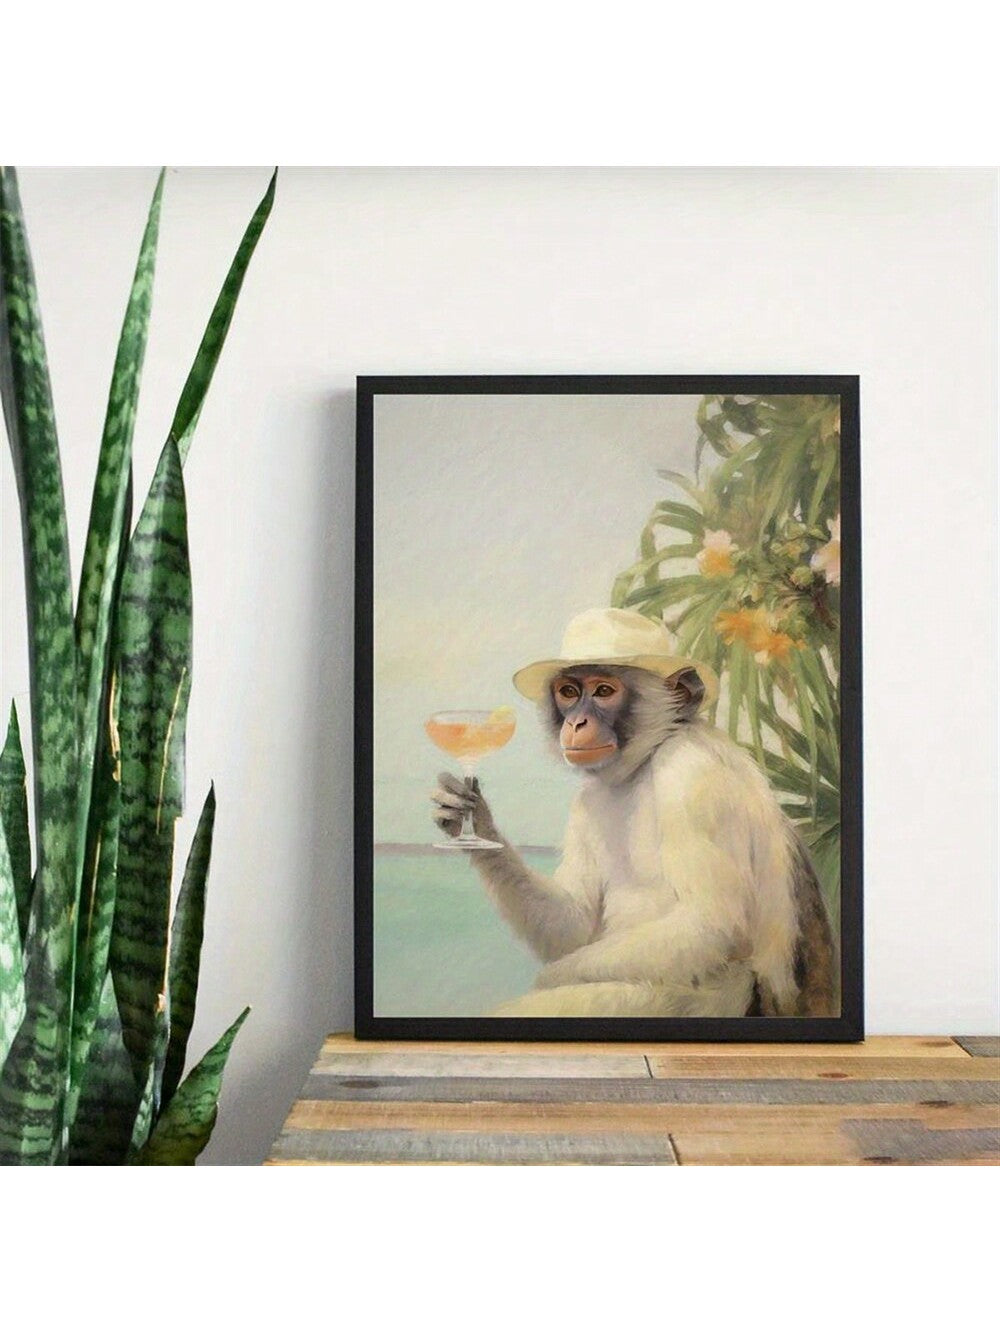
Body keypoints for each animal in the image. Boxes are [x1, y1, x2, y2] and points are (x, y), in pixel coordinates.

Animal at [431, 609, 837, 1020]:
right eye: (569, 693)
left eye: (603, 692)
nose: (576, 723)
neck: (648, 758)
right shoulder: (587, 801)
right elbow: (572, 924)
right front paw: (475, 822)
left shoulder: (692, 777)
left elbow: (709, 926)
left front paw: (549, 978)